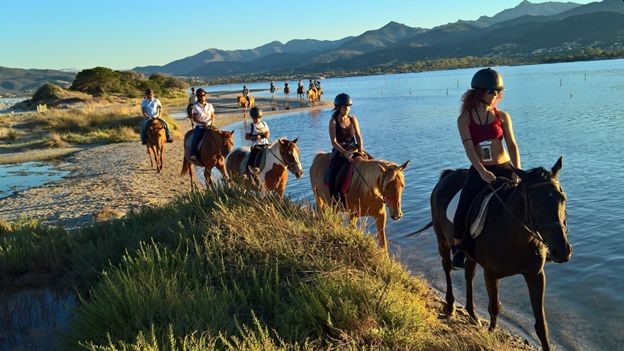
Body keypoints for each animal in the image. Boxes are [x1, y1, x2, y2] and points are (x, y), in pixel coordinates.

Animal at [416, 158, 572, 350]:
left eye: (562, 198)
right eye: (533, 201)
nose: (562, 251)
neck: (516, 236)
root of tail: (447, 176)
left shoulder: (535, 275)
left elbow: (541, 323)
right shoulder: (490, 274)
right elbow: (495, 306)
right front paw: (491, 334)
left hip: (469, 254)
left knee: (468, 275)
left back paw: (472, 314)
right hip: (442, 240)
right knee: (447, 267)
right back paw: (450, 305)